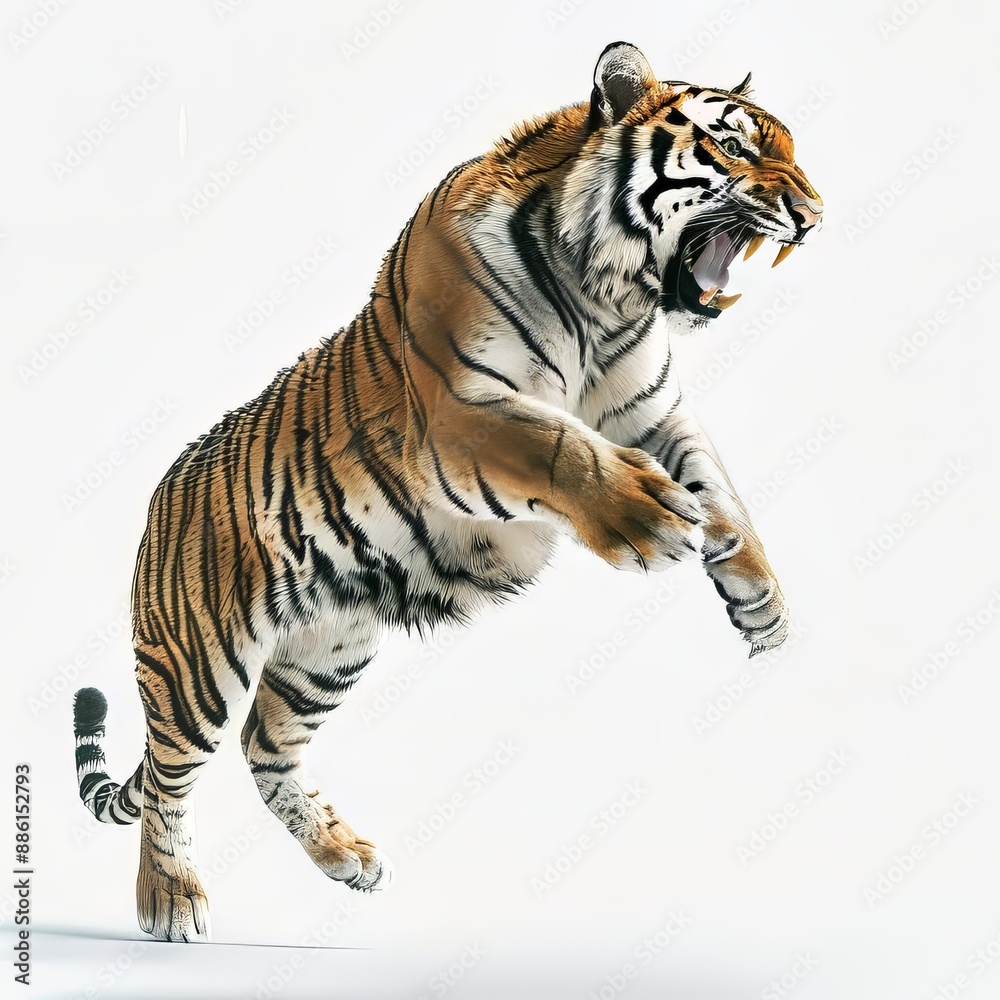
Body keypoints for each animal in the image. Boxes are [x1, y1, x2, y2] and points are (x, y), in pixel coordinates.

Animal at [71, 41, 822, 942]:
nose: (815, 215)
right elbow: (562, 448)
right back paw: (170, 900)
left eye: (793, 151)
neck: (604, 298)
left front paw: (762, 605)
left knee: (265, 747)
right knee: (169, 783)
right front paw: (647, 520)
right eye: (735, 147)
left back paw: (346, 857)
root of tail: (158, 494)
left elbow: (722, 491)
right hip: (198, 663)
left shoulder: (651, 411)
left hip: (328, 649)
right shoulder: (462, 408)